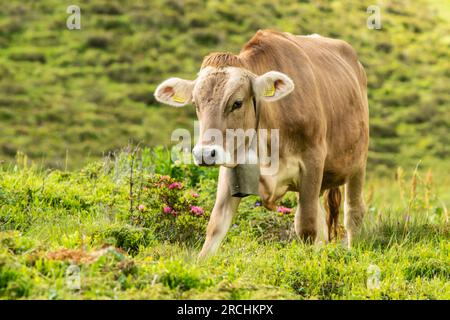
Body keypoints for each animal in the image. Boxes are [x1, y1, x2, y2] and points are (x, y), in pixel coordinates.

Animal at [155, 30, 370, 258]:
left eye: (237, 103)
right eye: (196, 103)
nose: (205, 154)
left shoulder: (313, 162)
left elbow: (307, 226)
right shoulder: (232, 166)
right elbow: (216, 225)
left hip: (358, 163)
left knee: (353, 211)